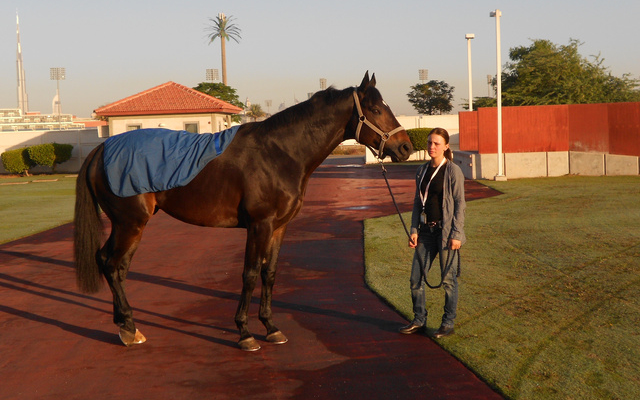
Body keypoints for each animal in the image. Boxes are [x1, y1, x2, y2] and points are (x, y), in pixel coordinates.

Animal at [75, 72, 412, 350]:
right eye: (376, 109)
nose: (406, 147)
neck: (280, 153)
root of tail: (102, 149)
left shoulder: (279, 227)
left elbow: (270, 273)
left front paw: (271, 328)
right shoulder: (259, 225)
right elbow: (249, 274)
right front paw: (245, 333)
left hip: (128, 225)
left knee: (112, 264)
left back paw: (127, 325)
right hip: (130, 223)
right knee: (112, 264)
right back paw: (128, 328)